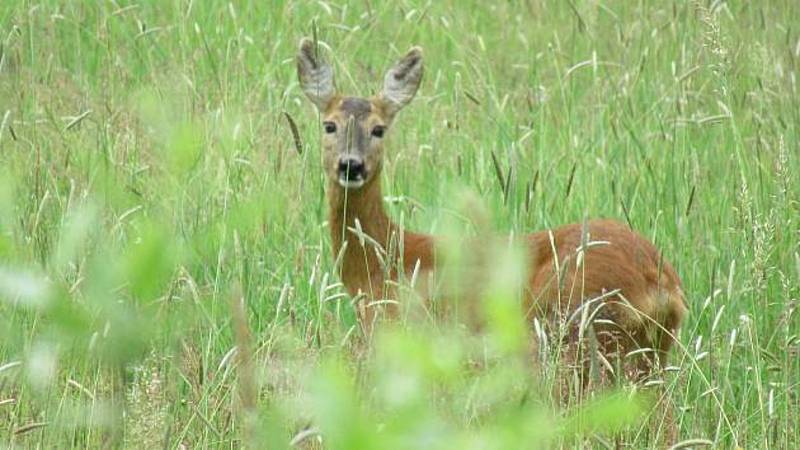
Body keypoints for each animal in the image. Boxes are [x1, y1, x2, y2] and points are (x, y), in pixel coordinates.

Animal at [296, 37, 684, 384]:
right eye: (329, 125)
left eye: (378, 129)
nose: (351, 165)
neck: (384, 262)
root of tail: (660, 279)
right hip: (648, 350)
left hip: (573, 334)